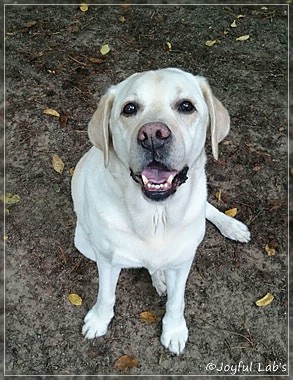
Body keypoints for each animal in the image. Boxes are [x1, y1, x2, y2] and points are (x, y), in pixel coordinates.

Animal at [70, 67, 249, 354]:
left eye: (186, 106)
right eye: (129, 108)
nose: (153, 134)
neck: (156, 215)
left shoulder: (184, 260)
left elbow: (177, 301)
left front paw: (174, 330)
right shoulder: (106, 260)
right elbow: (106, 295)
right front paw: (99, 320)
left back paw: (231, 226)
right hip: (83, 244)